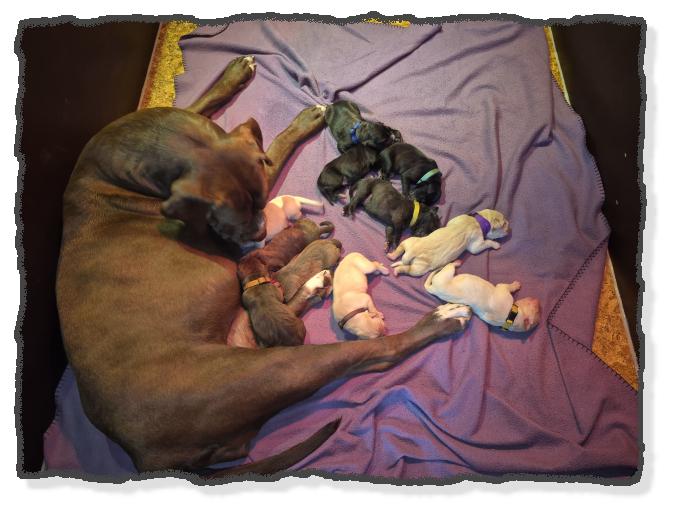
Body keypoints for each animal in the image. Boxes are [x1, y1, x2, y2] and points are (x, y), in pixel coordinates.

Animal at [56, 55, 472, 477]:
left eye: (256, 204)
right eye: (231, 216)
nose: (258, 234)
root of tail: (149, 457)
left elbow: (204, 101)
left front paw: (235, 73)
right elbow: (275, 147)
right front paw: (305, 121)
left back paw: (314, 283)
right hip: (276, 368)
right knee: (380, 350)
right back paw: (438, 319)